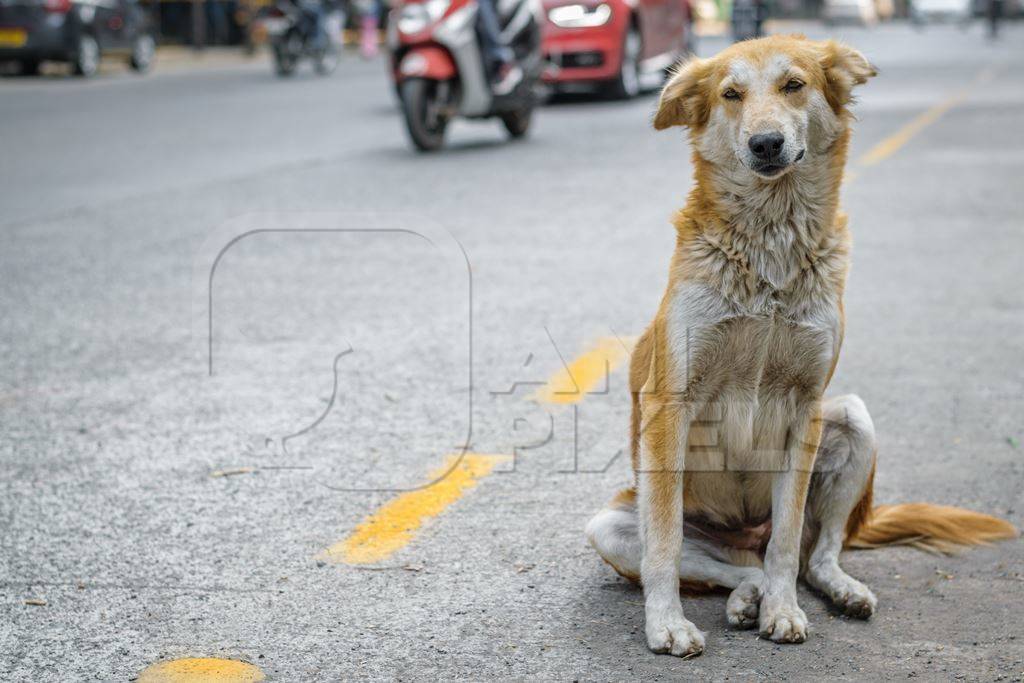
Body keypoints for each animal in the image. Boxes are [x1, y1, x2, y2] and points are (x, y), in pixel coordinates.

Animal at [585, 36, 1015, 655]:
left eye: (794, 85)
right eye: (731, 95)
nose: (765, 142)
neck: (771, 242)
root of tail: (742, 535)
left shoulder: (805, 407)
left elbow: (787, 541)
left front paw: (783, 612)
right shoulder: (670, 404)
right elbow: (663, 544)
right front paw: (666, 624)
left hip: (853, 421)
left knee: (809, 554)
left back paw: (831, 591)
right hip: (613, 526)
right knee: (733, 567)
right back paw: (744, 598)